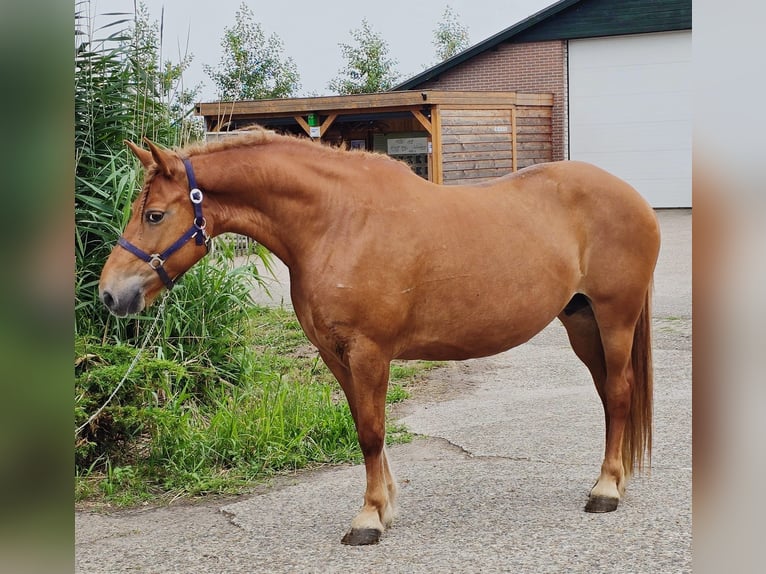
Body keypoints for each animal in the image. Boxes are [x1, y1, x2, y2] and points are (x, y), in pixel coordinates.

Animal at [99, 128, 660, 545]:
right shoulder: (336, 355)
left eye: (154, 214)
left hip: (614, 318)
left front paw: (368, 519)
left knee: (618, 392)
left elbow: (371, 431)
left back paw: (606, 491)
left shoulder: (369, 351)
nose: (109, 294)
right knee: (608, 396)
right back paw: (612, 479)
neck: (338, 221)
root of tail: (635, 198)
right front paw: (385, 504)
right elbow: (364, 428)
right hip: (581, 321)